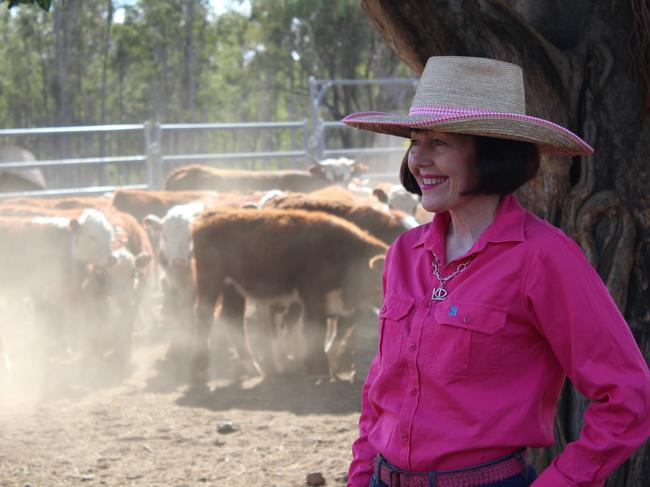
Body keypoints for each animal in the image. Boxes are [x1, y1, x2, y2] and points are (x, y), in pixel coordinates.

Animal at [191, 209, 384, 382]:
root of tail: (210, 217)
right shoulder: (313, 300)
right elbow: (314, 334)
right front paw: (319, 371)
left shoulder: (348, 310)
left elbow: (335, 338)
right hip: (211, 280)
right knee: (204, 315)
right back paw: (200, 369)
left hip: (234, 288)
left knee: (232, 317)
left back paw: (253, 367)